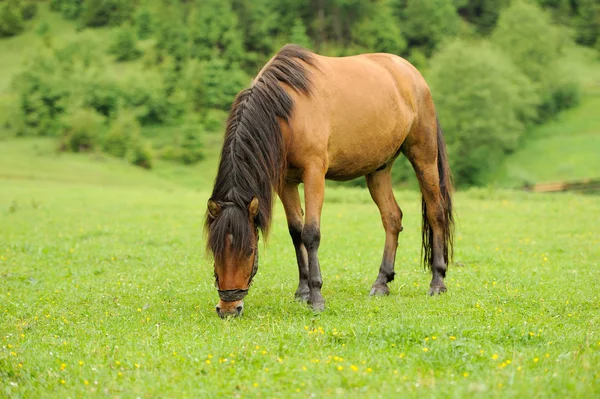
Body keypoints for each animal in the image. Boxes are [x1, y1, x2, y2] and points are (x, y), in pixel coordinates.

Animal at [204, 44, 452, 318]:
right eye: (214, 249)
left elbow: (311, 233)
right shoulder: (286, 182)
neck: (287, 110)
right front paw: (302, 291)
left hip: (424, 157)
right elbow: (296, 232)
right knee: (392, 218)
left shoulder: (314, 173)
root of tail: (412, 74)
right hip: (378, 169)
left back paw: (437, 282)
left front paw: (316, 297)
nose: (228, 308)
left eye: (249, 250)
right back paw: (381, 282)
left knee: (436, 213)